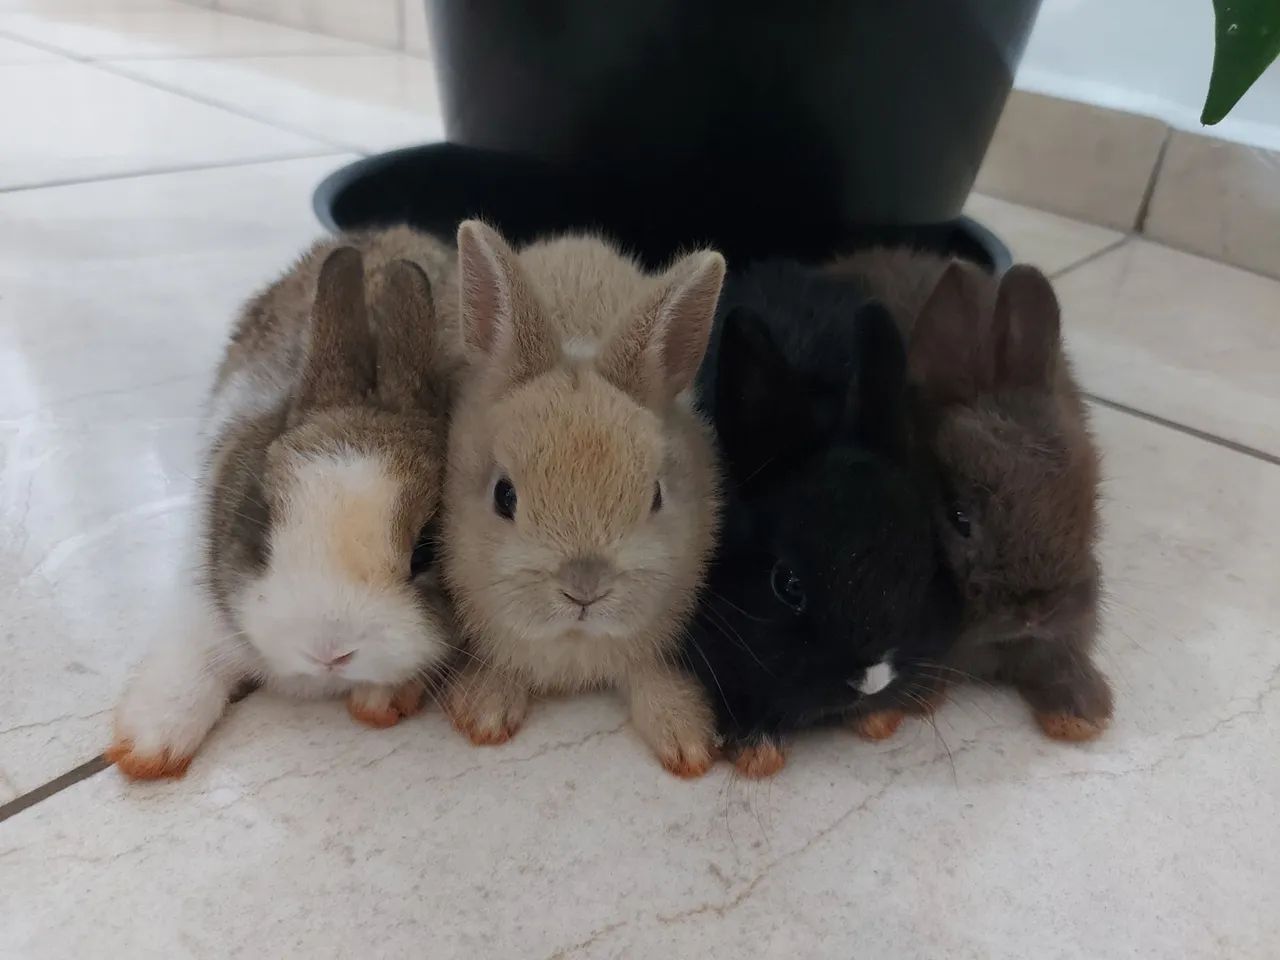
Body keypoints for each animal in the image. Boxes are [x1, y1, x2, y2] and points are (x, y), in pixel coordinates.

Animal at [108, 229, 460, 780]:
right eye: (263, 528)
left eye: (424, 551)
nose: (329, 652)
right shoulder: (200, 593)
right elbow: (191, 654)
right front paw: (147, 748)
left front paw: (381, 701)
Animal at [441, 220, 725, 778]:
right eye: (504, 496)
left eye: (656, 496)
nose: (584, 590)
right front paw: (484, 714)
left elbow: (648, 674)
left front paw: (689, 744)